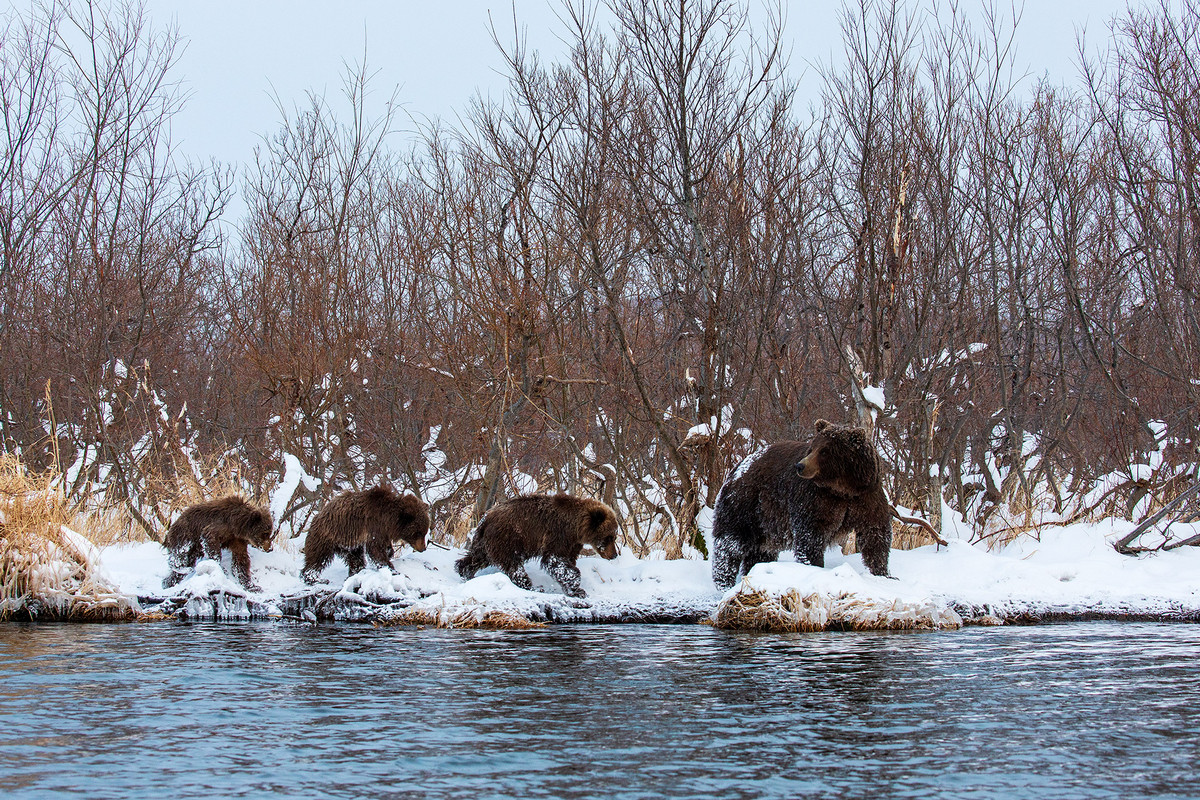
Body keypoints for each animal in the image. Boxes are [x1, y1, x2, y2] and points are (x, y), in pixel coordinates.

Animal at [300, 484, 432, 585]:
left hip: (347, 543)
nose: (423, 548)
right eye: (418, 532)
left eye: (425, 531)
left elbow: (384, 547)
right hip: (327, 536)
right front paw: (392, 569)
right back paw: (314, 578)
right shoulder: (373, 526)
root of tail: (316, 517)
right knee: (318, 558)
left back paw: (355, 572)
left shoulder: (382, 531)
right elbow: (376, 550)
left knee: (355, 557)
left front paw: (390, 553)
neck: (389, 520)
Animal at [456, 494, 619, 599]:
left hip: (486, 543)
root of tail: (485, 519)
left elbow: (568, 560)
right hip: (508, 539)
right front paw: (578, 588)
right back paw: (532, 586)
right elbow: (555, 560)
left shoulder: (572, 544)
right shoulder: (558, 535)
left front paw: (574, 587)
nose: (614, 555)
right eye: (609, 537)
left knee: (477, 558)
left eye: (614, 536)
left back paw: (465, 571)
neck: (576, 528)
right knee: (514, 566)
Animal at [705, 419, 897, 587]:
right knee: (731, 543)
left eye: (825, 451)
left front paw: (884, 573)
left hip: (766, 523)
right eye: (812, 448)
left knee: (760, 552)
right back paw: (724, 581)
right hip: (745, 503)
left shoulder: (866, 498)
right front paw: (814, 566)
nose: (800, 466)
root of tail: (736, 468)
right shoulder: (815, 499)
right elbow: (810, 535)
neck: (842, 488)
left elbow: (875, 535)